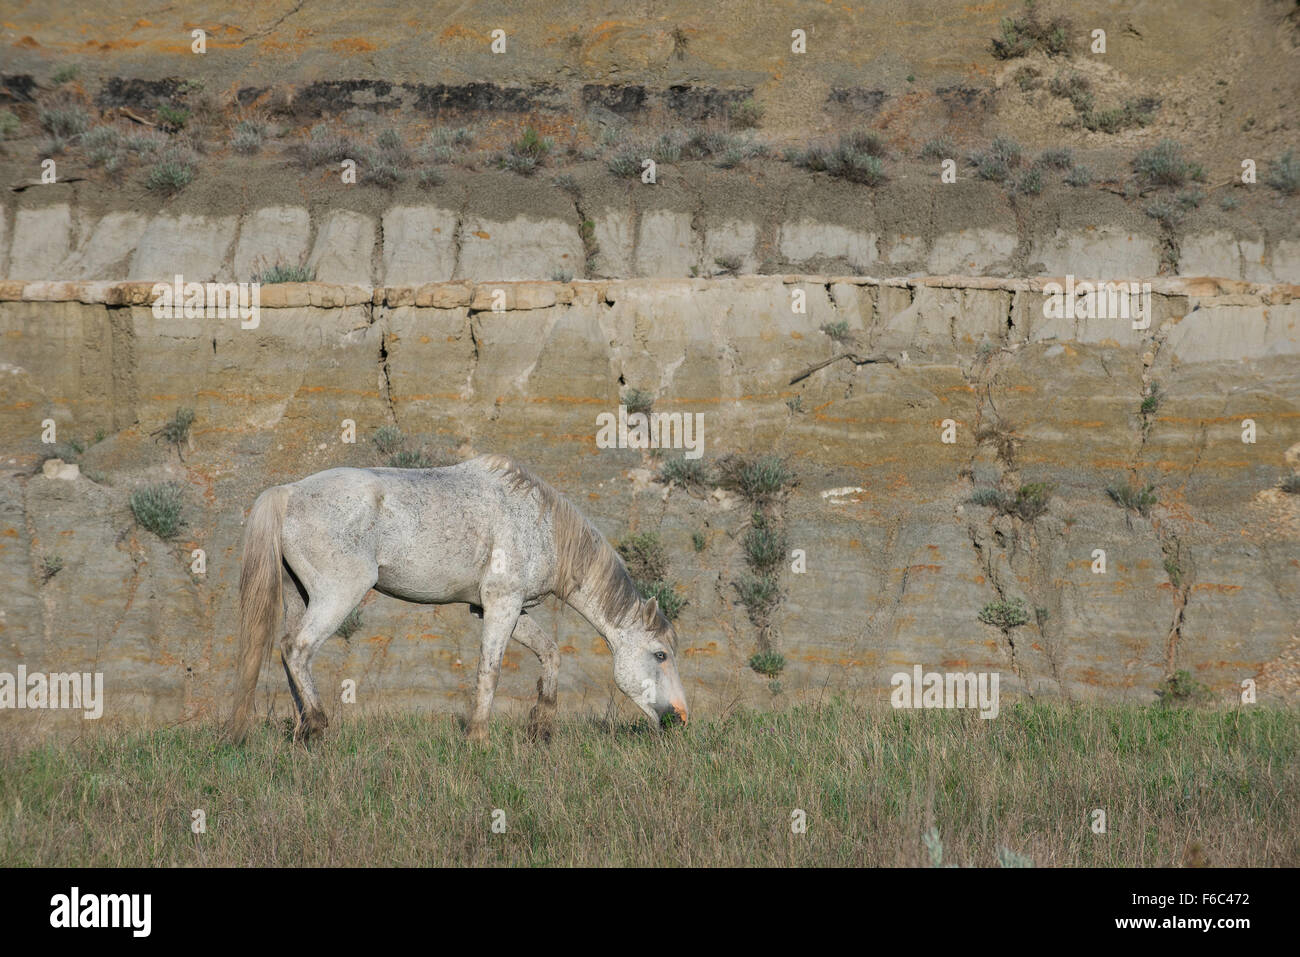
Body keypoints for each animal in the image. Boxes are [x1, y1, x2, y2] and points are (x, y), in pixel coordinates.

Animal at [226, 454, 689, 744]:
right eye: (660, 655)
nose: (680, 717)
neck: (541, 525)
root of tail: (289, 492)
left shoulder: (507, 608)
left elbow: (551, 654)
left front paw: (541, 728)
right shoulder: (501, 605)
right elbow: (490, 671)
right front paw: (478, 736)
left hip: (301, 597)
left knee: (288, 656)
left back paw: (304, 730)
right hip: (338, 595)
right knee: (297, 649)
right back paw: (319, 725)